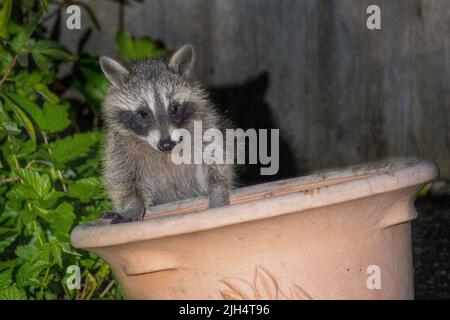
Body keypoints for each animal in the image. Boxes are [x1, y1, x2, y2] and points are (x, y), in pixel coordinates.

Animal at [99, 45, 236, 224]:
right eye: (143, 113)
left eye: (174, 108)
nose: (166, 144)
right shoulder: (119, 145)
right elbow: (123, 178)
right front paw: (132, 206)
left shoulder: (205, 124)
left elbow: (214, 159)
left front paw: (218, 192)